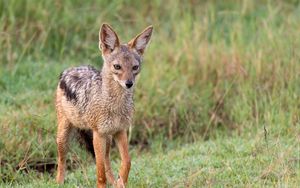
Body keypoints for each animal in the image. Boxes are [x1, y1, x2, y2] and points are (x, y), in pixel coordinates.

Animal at [54, 23, 152, 188]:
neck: (115, 105)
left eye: (135, 67)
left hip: (108, 139)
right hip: (64, 137)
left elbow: (126, 162)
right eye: (117, 66)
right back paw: (59, 182)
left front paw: (120, 182)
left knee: (107, 161)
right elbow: (100, 172)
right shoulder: (98, 134)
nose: (129, 84)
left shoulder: (120, 131)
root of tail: (69, 70)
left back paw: (114, 181)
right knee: (62, 161)